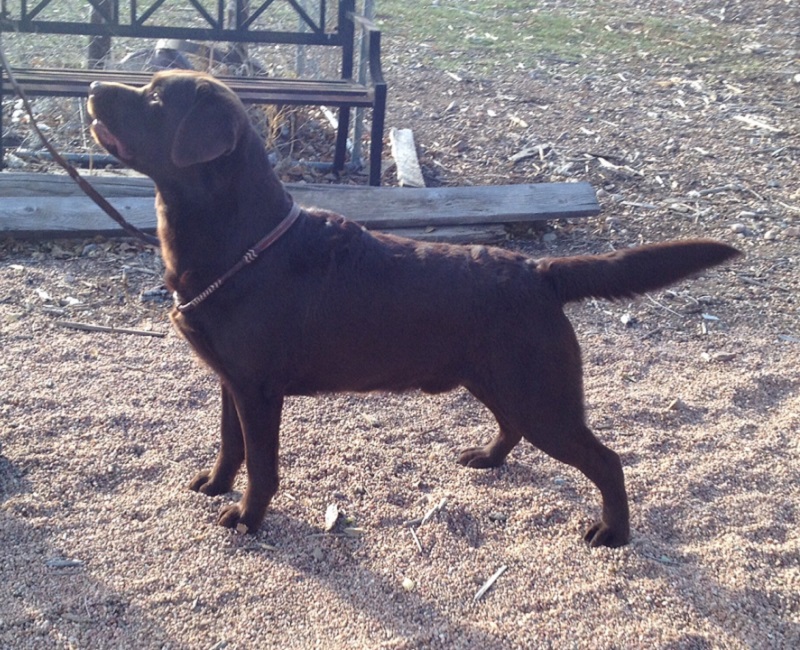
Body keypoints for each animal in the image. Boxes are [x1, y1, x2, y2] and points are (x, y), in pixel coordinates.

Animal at [84, 72, 740, 548]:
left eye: (154, 98)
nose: (91, 88)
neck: (243, 243)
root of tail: (538, 272)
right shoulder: (231, 383)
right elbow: (230, 445)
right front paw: (217, 486)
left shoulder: (259, 390)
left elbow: (263, 465)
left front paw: (247, 517)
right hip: (495, 380)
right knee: (513, 426)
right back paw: (487, 459)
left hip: (543, 396)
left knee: (607, 460)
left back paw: (614, 531)